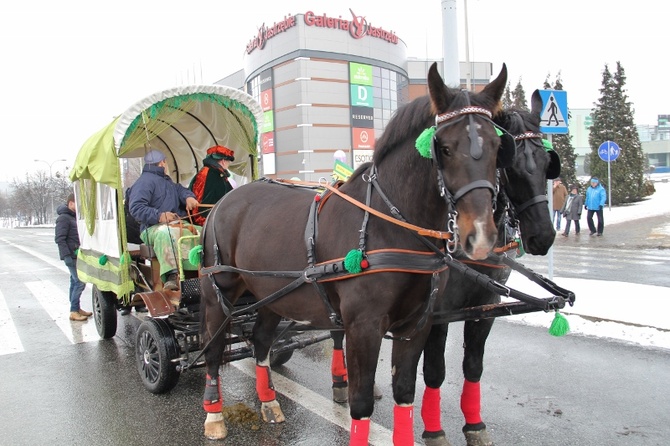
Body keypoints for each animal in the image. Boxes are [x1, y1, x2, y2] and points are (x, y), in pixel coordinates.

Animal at [200, 61, 510, 442]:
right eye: (446, 148)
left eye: (497, 146)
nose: (480, 236)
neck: (390, 225)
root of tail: (222, 202)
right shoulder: (363, 326)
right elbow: (360, 403)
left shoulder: (416, 325)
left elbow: (404, 394)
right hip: (219, 293)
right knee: (213, 348)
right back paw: (214, 413)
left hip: (271, 293)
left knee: (260, 341)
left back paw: (268, 401)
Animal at [422, 89, 564, 446]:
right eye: (510, 166)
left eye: (547, 164)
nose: (543, 236)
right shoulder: (436, 312)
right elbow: (434, 370)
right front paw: (434, 431)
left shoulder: (486, 305)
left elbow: (473, 366)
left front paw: (475, 426)